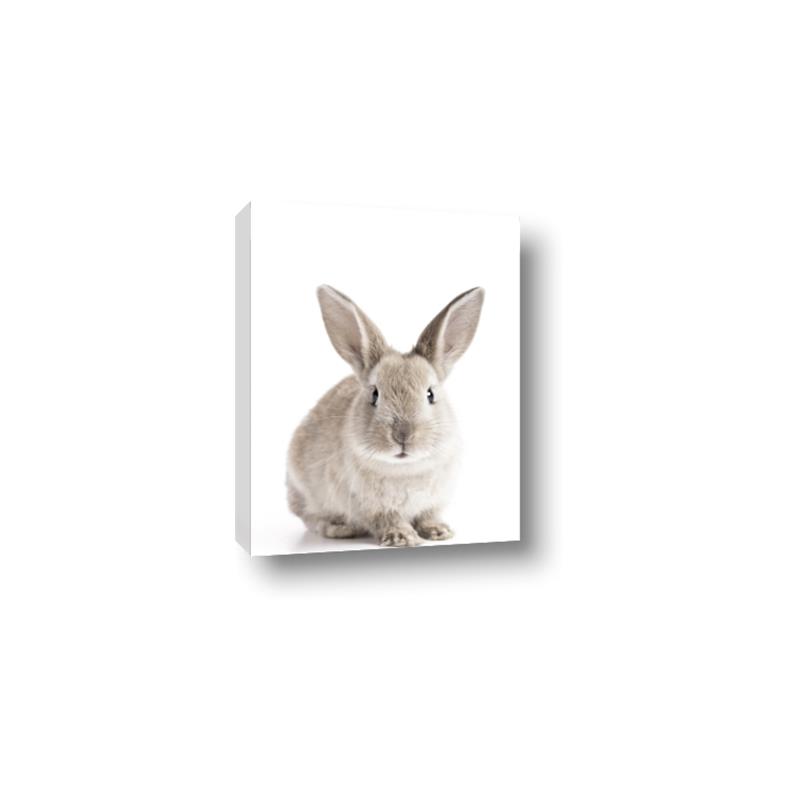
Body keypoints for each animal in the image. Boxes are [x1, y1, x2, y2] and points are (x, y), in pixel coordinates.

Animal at [286, 285, 485, 547]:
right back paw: (339, 528)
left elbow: (428, 516)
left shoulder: (433, 502)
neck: (405, 469)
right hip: (303, 491)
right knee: (310, 517)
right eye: (374, 394)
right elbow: (388, 519)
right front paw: (402, 538)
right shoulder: (373, 507)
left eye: (430, 394)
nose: (403, 435)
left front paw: (439, 532)